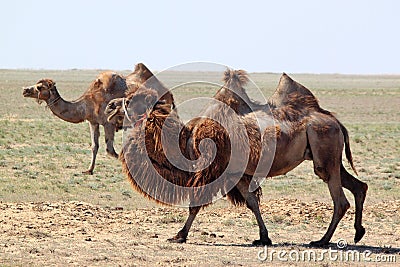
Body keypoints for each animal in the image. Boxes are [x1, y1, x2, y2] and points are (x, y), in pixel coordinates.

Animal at [22, 63, 161, 176]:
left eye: (40, 87)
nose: (25, 90)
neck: (88, 103)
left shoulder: (108, 123)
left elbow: (110, 150)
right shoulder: (93, 122)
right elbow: (95, 146)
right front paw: (89, 170)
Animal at [104, 70, 368, 248]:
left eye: (131, 100)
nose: (109, 106)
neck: (185, 142)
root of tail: (334, 120)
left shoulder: (211, 170)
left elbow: (195, 205)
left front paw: (179, 235)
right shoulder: (235, 173)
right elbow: (252, 203)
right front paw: (263, 237)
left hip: (325, 151)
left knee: (340, 200)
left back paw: (322, 240)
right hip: (329, 157)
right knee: (359, 186)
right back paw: (358, 232)